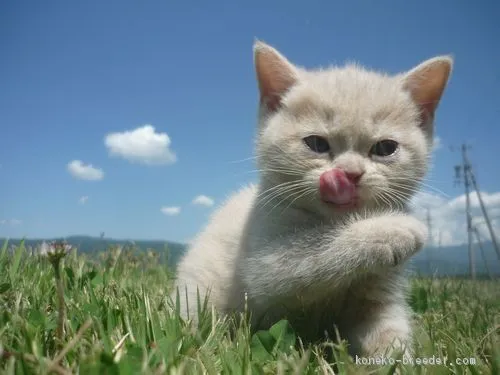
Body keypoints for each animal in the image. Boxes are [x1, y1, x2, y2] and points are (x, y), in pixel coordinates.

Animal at [172, 40, 454, 358]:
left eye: (385, 148)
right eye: (317, 144)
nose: (350, 173)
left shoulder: (380, 295)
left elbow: (387, 330)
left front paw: (397, 359)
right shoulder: (264, 264)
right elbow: (314, 253)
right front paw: (396, 229)